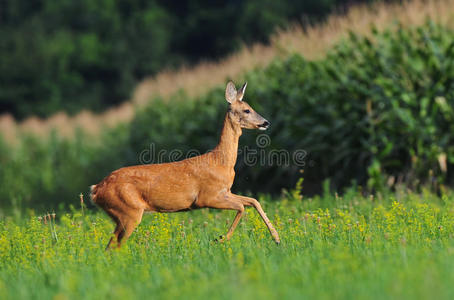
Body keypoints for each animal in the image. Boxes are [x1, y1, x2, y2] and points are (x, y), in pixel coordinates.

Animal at [89, 80, 280, 248]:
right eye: (247, 110)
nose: (266, 122)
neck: (221, 161)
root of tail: (96, 189)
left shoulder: (225, 191)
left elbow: (253, 201)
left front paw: (276, 238)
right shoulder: (207, 197)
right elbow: (241, 207)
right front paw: (220, 239)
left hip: (121, 214)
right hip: (129, 211)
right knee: (115, 247)